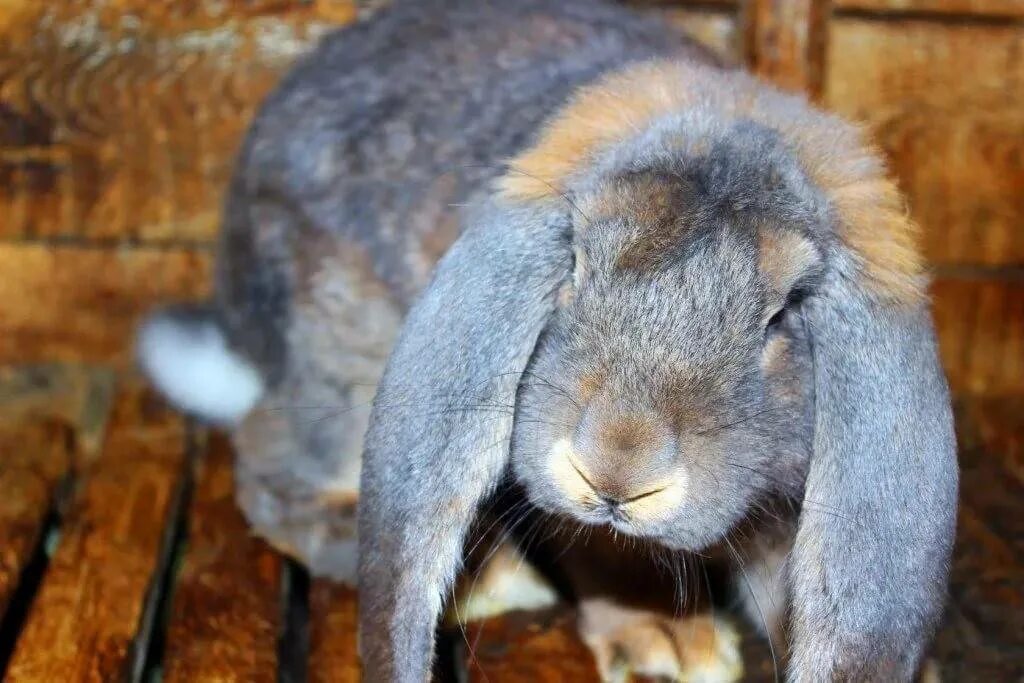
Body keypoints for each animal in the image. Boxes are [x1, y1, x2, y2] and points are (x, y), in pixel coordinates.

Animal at [138, 1, 958, 683]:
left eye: (782, 315)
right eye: (576, 264)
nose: (616, 468)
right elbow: (607, 551)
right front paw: (671, 642)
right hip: (343, 351)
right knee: (271, 467)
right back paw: (496, 581)